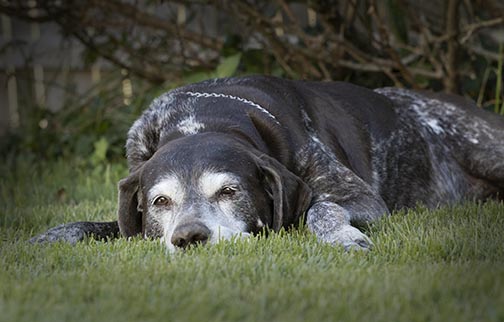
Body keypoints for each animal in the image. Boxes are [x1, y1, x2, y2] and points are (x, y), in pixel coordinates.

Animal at [31, 76, 504, 252]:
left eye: (229, 191)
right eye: (160, 202)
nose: (188, 237)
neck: (201, 119)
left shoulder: (363, 198)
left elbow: (321, 207)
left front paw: (343, 237)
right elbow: (98, 225)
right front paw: (47, 237)